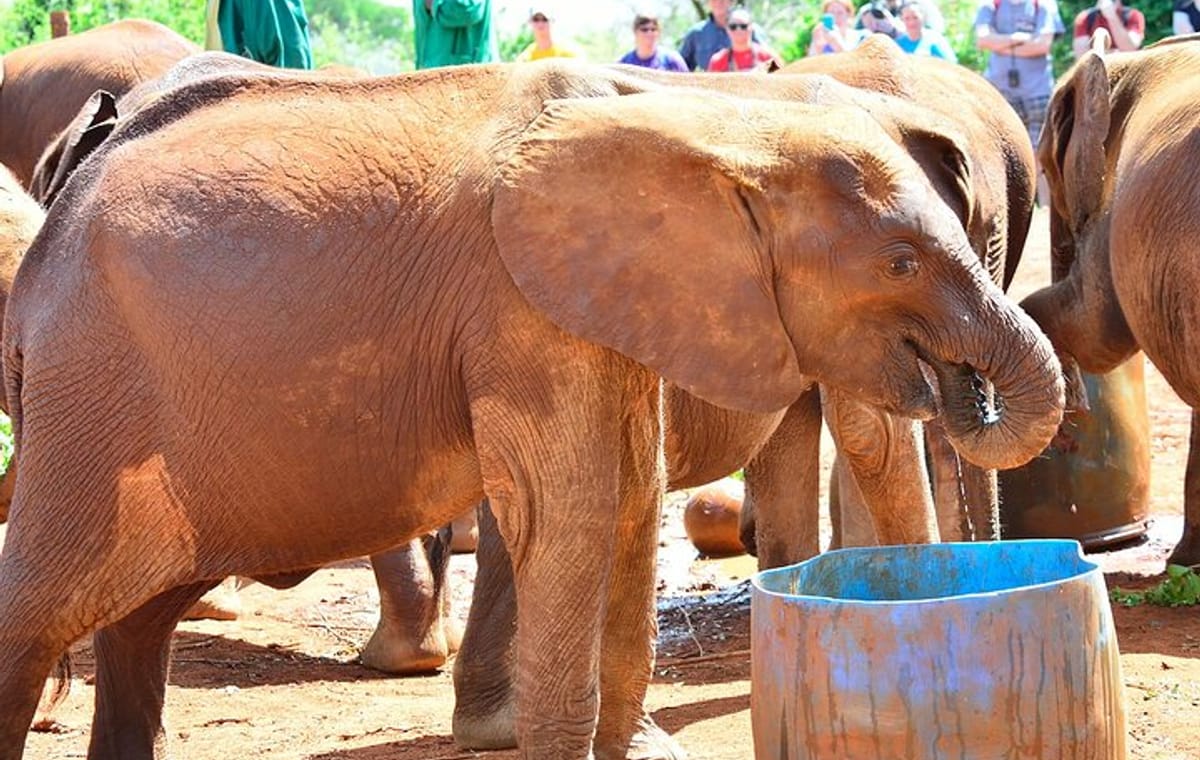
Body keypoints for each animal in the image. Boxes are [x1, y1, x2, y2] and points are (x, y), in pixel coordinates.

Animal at [0, 61, 1064, 759]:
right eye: (901, 262)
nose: (966, 387)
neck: (723, 125)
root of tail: (54, 224)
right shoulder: (521, 308)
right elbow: (575, 511)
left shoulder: (609, 307)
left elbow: (630, 504)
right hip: (94, 393)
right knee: (41, 606)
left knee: (141, 619)